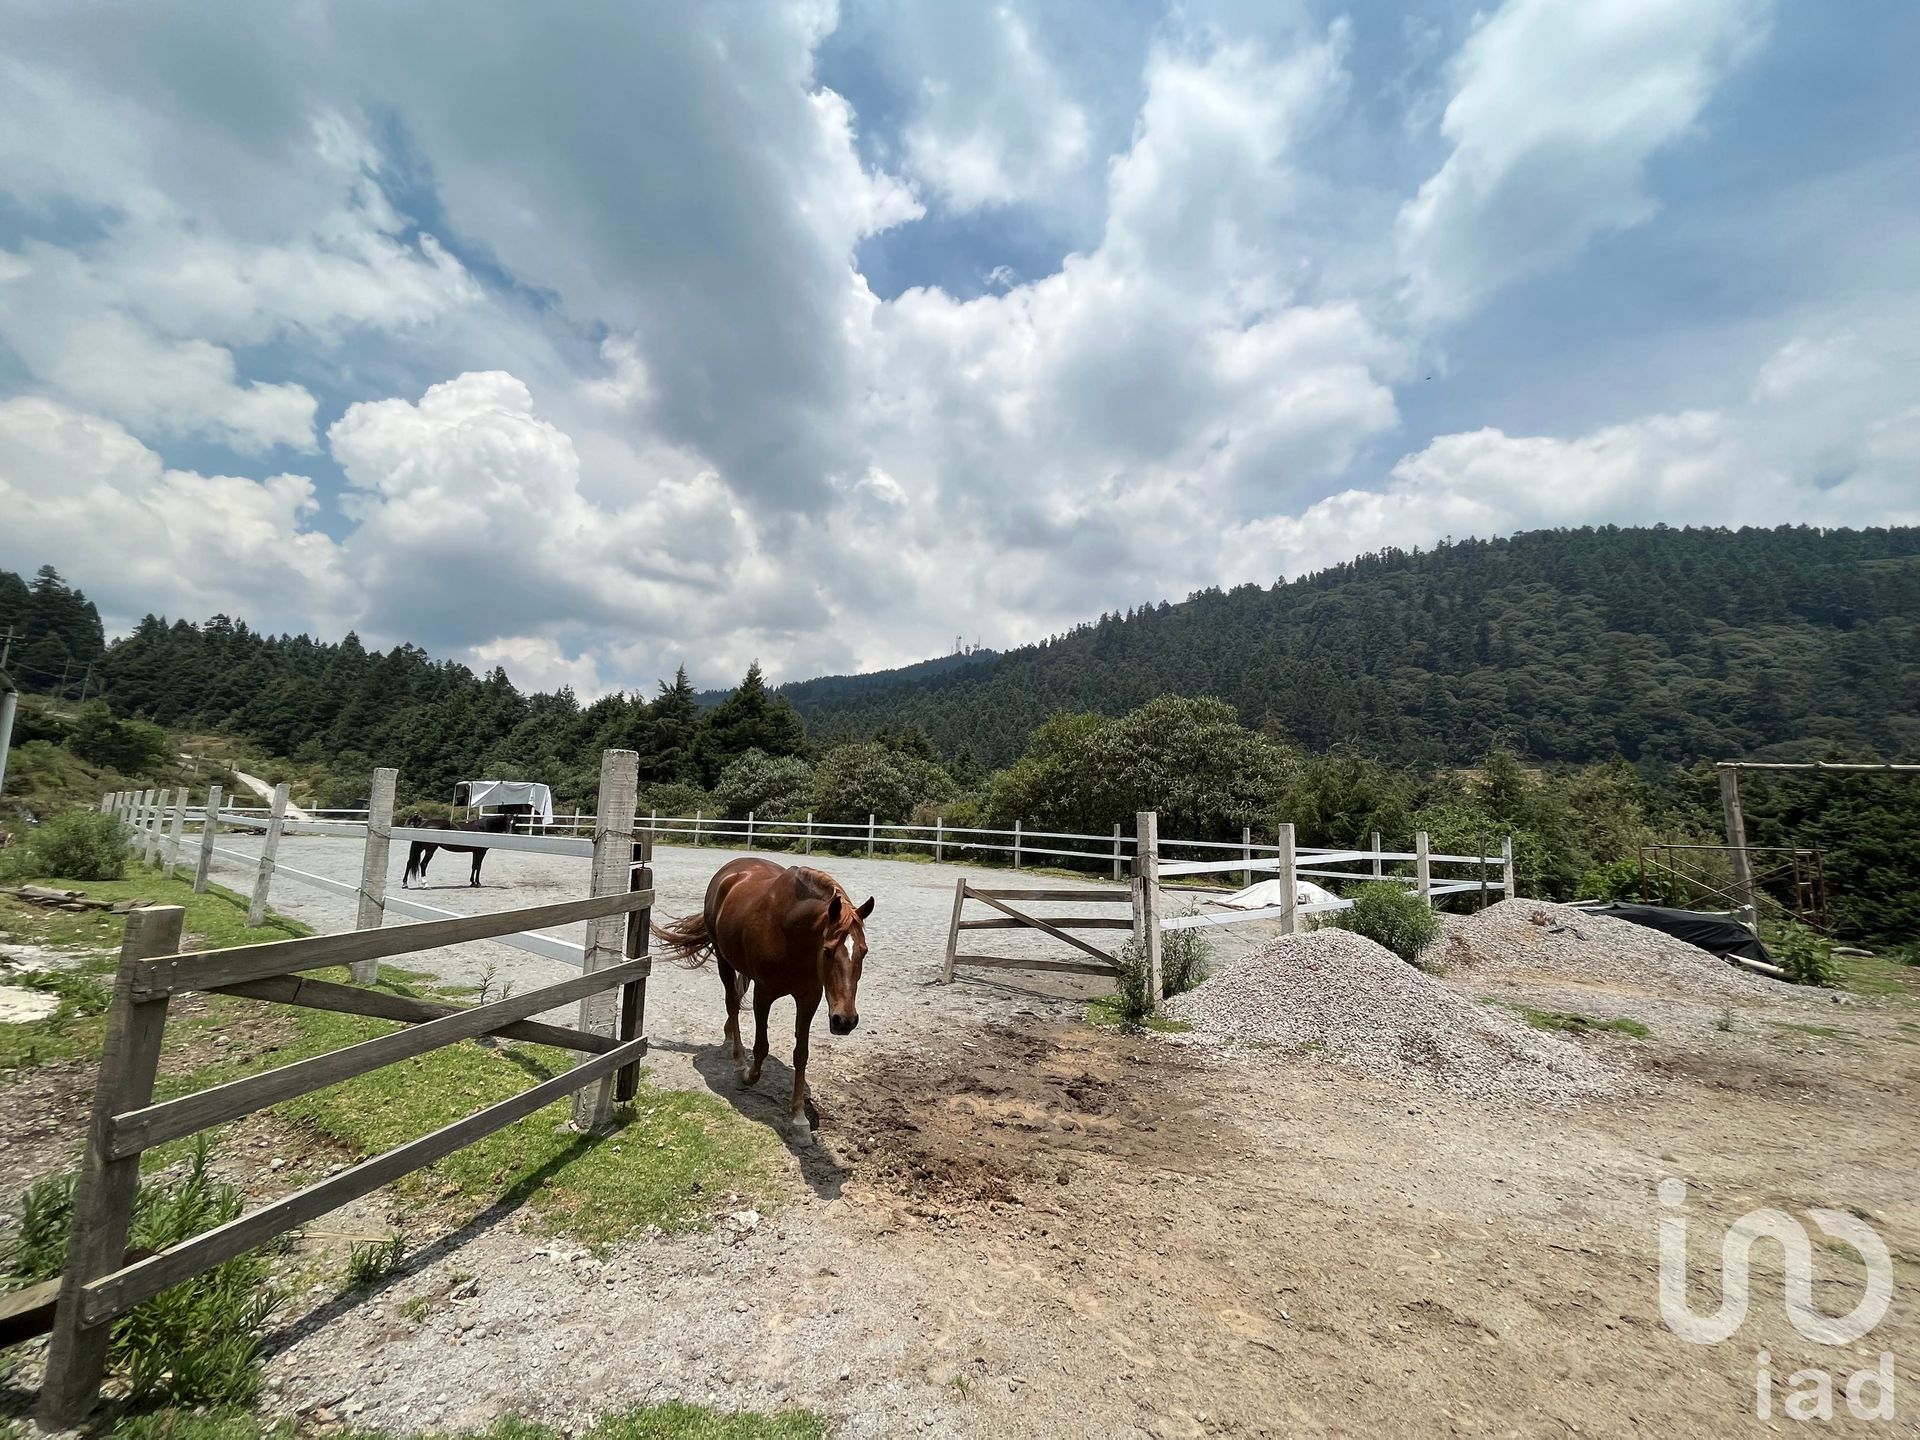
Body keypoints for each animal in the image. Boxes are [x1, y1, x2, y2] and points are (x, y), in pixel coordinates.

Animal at [652, 856, 879, 1152]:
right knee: (732, 1003)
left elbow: (801, 1054)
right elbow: (761, 1047)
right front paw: (748, 1075)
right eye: (828, 951)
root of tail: (731, 869)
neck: (792, 935)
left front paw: (799, 1120)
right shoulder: (764, 994)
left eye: (863, 951)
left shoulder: (809, 998)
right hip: (724, 960)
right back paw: (737, 1059)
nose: (845, 1021)